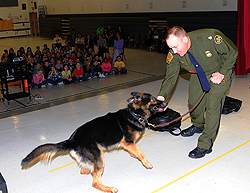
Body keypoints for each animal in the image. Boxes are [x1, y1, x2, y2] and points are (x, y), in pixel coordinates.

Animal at [21, 91, 166, 191]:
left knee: (85, 170)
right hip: (99, 159)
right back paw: (109, 189)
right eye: (153, 99)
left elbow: (135, 151)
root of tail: (72, 140)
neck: (134, 114)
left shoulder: (128, 145)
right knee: (95, 181)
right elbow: (141, 153)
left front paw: (134, 155)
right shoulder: (128, 143)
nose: (165, 103)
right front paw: (146, 163)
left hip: (95, 159)